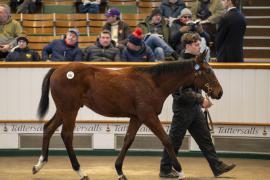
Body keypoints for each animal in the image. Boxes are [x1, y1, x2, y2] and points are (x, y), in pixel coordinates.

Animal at [32, 52, 221, 179]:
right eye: (208, 71)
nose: (219, 92)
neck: (153, 83)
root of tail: (58, 69)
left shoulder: (137, 117)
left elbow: (128, 140)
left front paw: (119, 171)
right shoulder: (148, 116)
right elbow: (166, 140)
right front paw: (180, 170)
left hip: (63, 110)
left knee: (48, 127)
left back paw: (39, 165)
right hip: (70, 110)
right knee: (66, 135)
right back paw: (81, 172)